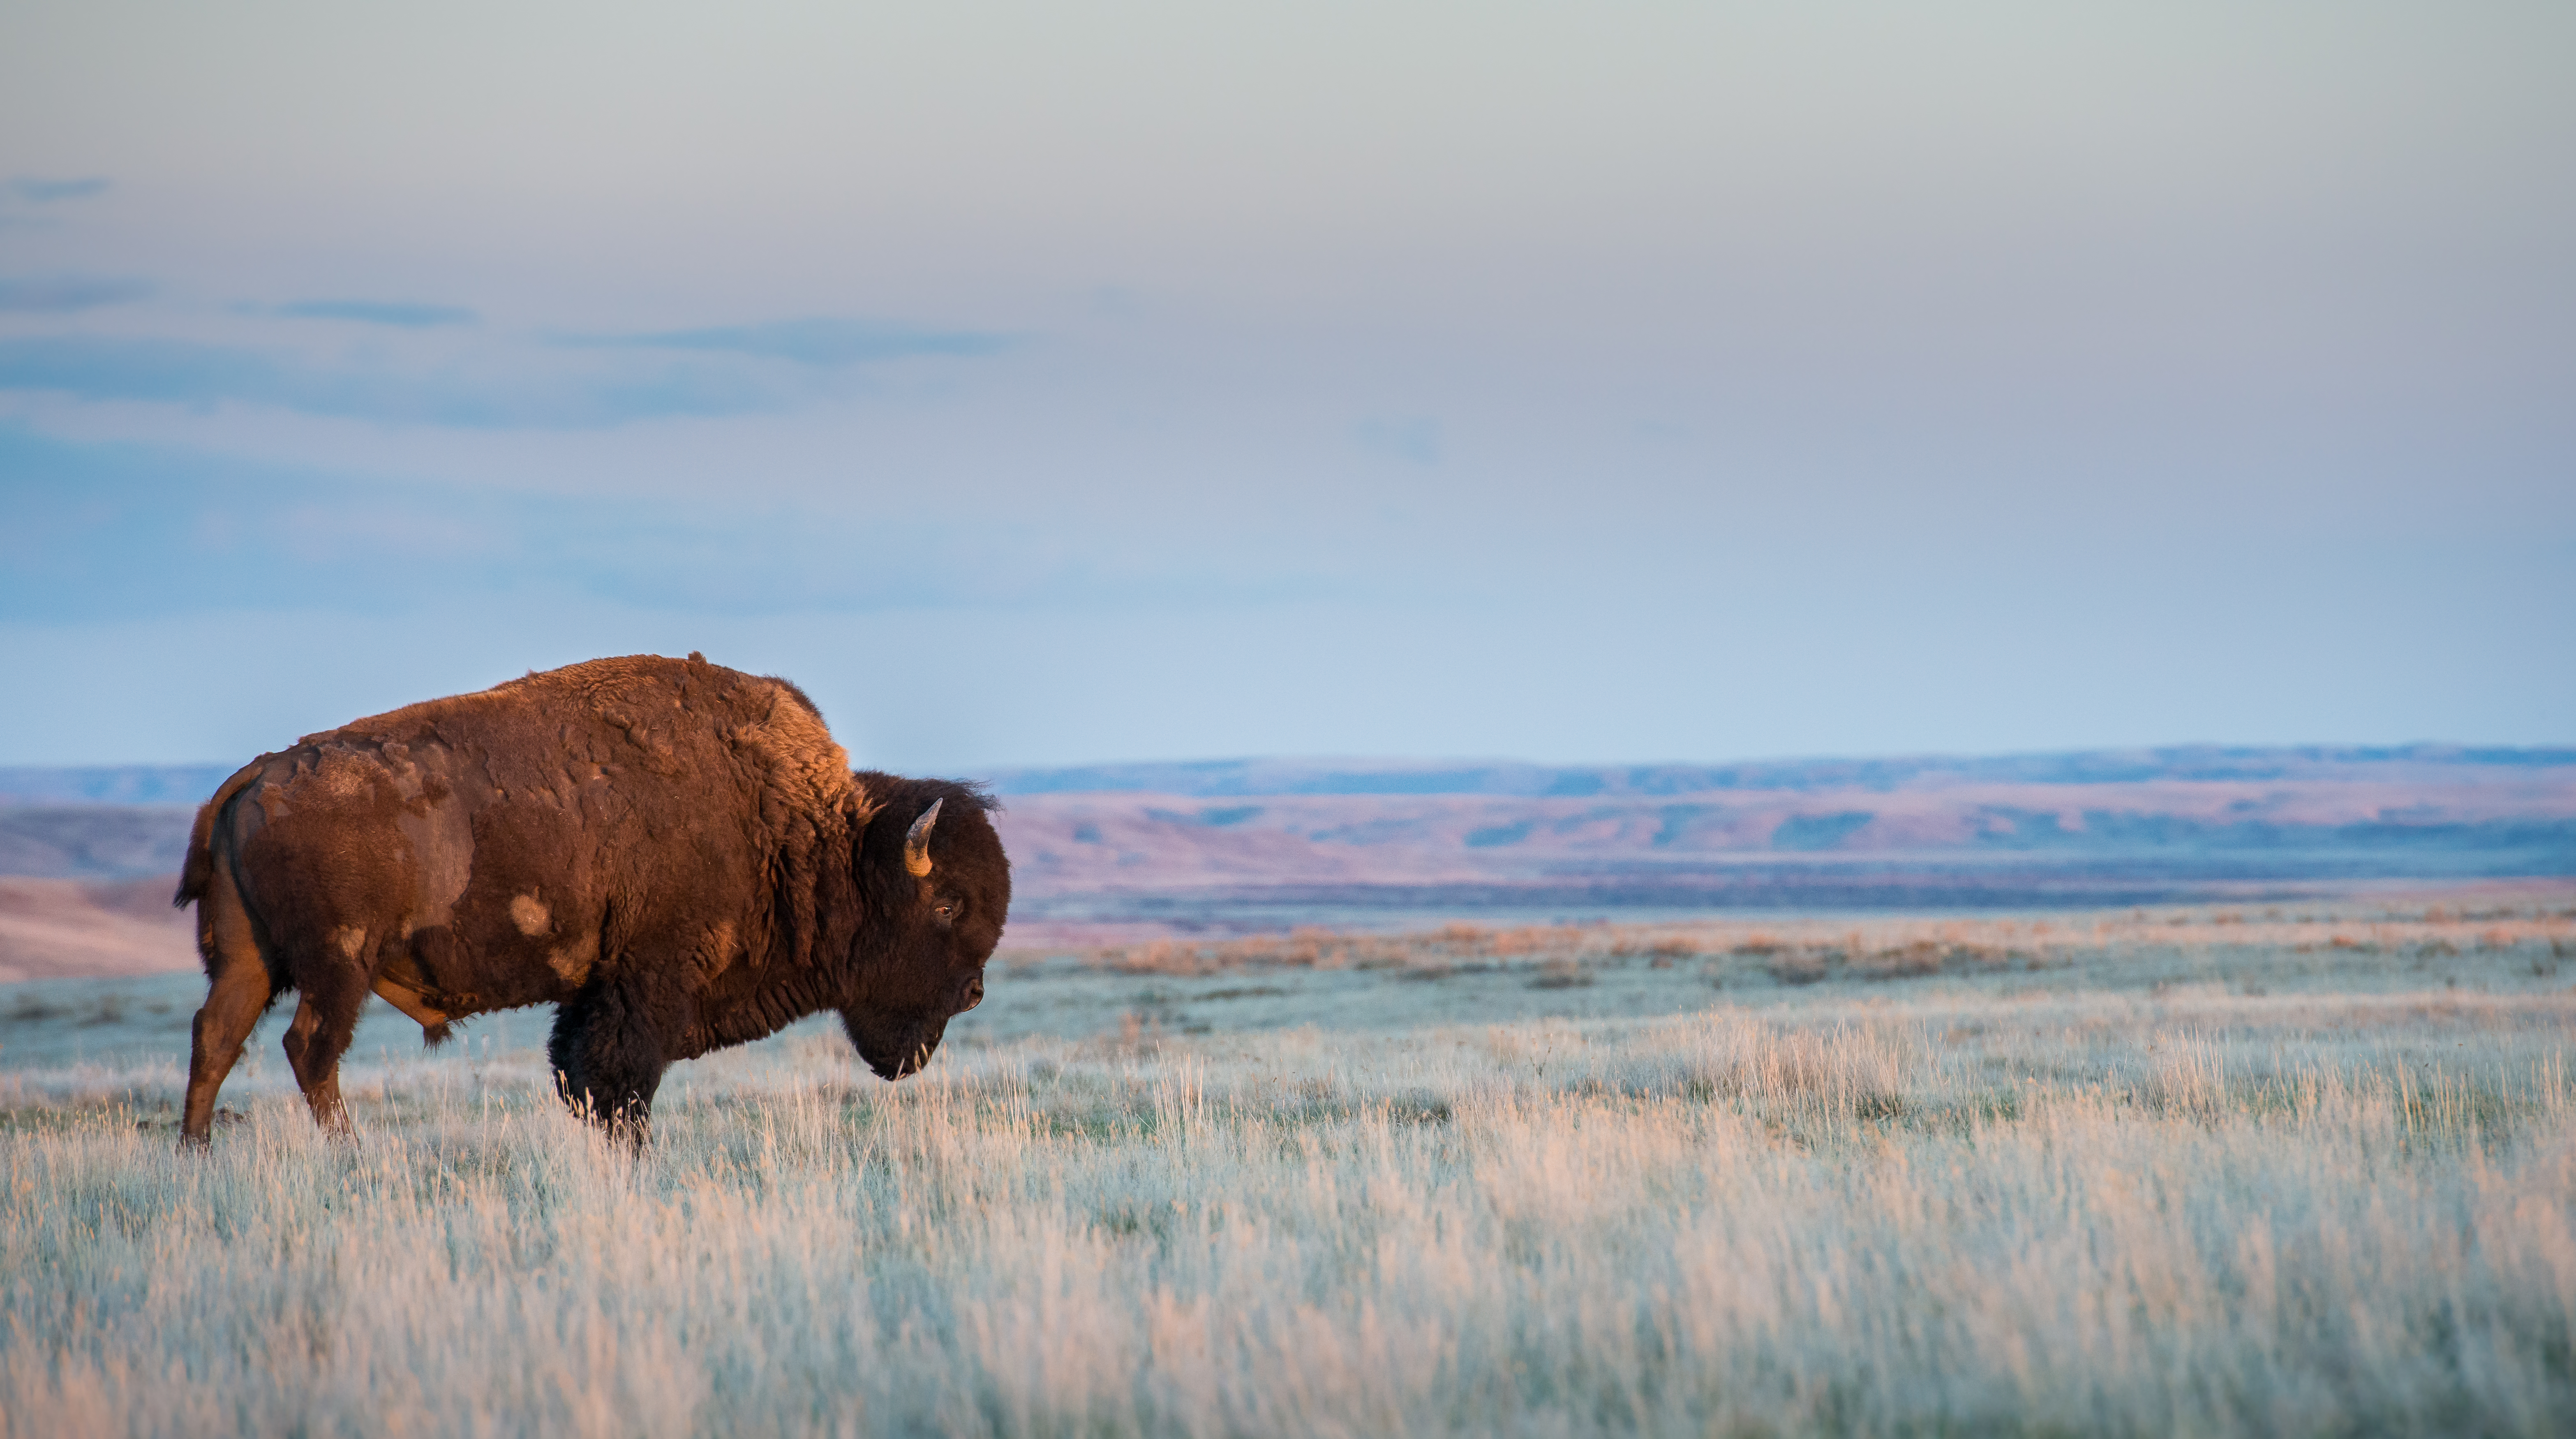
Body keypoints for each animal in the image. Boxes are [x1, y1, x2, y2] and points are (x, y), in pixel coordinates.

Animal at [173, 653, 1010, 1146]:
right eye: (945, 907)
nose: (973, 994)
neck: (801, 834)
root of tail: (255, 775)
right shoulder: (648, 981)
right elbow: (616, 1081)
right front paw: (632, 1158)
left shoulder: (594, 993)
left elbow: (578, 1075)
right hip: (337, 963)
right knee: (309, 1048)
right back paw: (347, 1153)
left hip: (248, 959)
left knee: (216, 1037)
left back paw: (195, 1152)